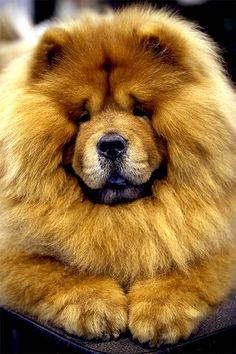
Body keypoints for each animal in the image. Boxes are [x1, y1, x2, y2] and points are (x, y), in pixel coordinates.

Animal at [0, 5, 236, 348]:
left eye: (140, 111)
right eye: (83, 117)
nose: (111, 144)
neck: (120, 213)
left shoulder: (215, 237)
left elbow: (188, 264)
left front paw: (160, 311)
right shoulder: (13, 248)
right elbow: (52, 269)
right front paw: (94, 307)